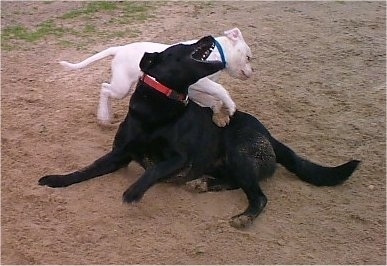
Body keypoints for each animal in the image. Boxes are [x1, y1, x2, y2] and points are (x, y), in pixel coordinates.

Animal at [59, 28, 253, 127]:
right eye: (249, 57)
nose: (252, 72)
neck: (219, 54)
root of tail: (119, 49)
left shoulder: (194, 90)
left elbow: (213, 99)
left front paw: (220, 115)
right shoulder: (201, 81)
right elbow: (220, 90)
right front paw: (230, 106)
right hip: (122, 87)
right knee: (105, 88)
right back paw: (104, 118)